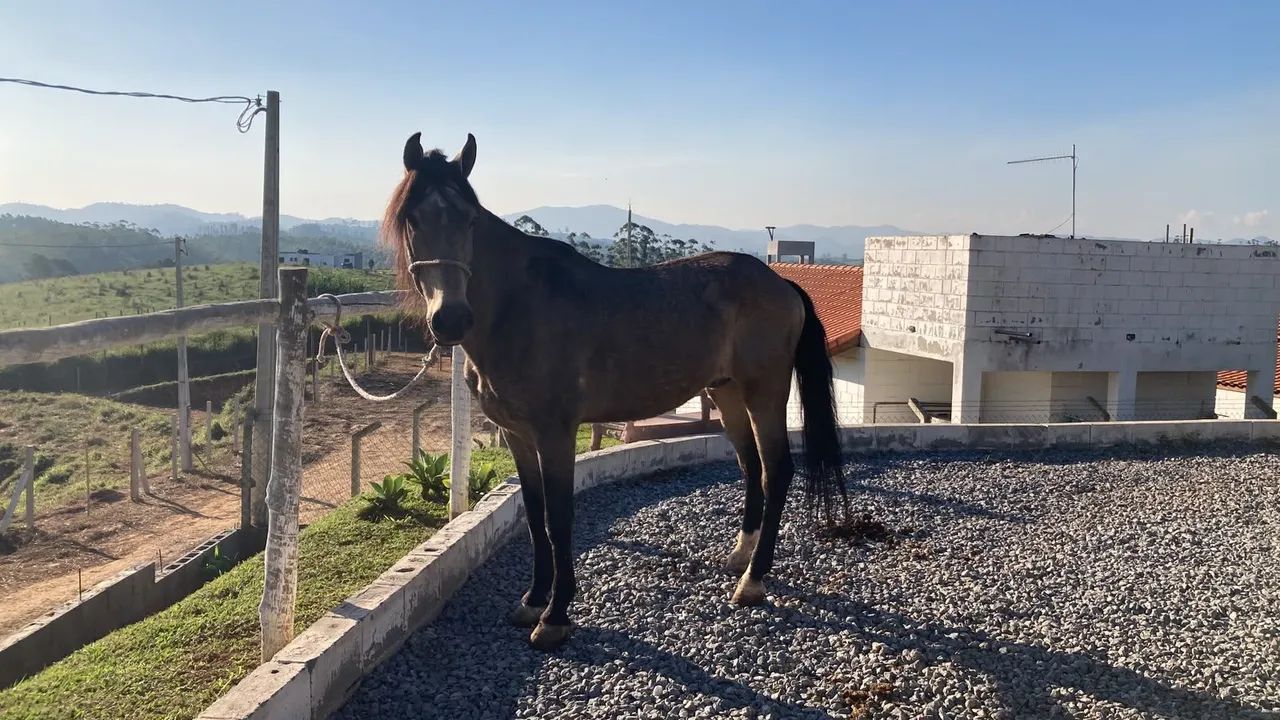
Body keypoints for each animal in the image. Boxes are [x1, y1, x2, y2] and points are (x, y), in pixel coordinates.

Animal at [383, 132, 851, 651]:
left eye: (468, 219)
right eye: (413, 219)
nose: (450, 319)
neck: (518, 306)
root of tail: (782, 283)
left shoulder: (555, 432)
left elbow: (558, 517)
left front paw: (556, 615)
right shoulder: (518, 435)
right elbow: (534, 514)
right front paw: (533, 600)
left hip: (763, 393)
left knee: (777, 470)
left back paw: (753, 581)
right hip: (727, 394)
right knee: (751, 466)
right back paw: (739, 558)